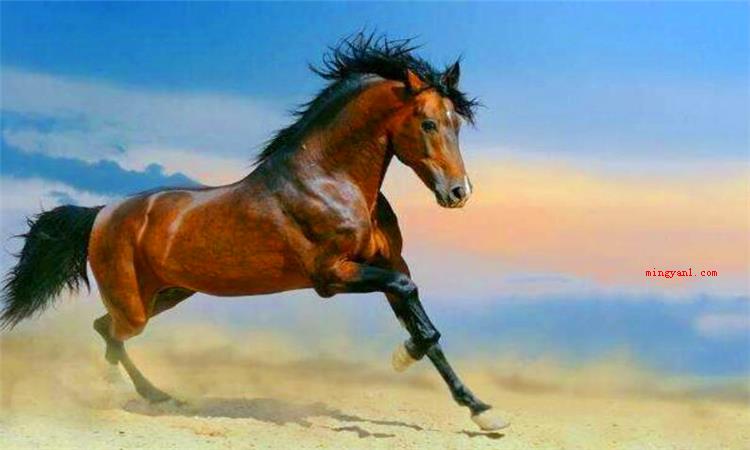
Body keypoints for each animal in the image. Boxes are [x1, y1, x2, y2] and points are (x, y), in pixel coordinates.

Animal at [1, 35, 507, 431]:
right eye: (428, 122)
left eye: (457, 123)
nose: (459, 192)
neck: (329, 180)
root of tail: (102, 212)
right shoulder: (332, 276)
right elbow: (412, 306)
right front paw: (404, 357)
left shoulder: (385, 265)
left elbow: (427, 326)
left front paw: (482, 411)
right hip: (135, 303)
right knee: (111, 332)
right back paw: (145, 395)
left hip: (167, 294)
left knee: (105, 330)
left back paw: (148, 395)